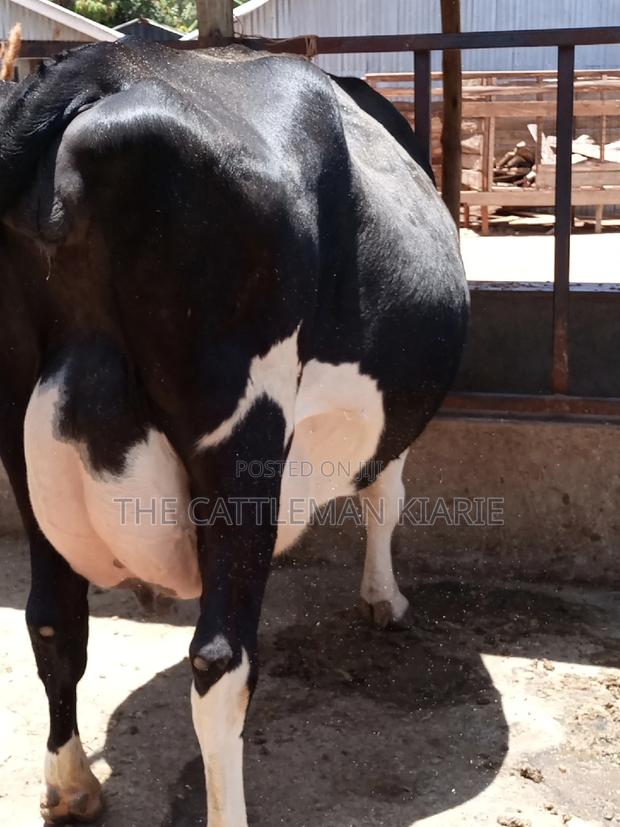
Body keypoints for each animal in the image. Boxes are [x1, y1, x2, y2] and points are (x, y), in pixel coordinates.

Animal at [0, 40, 468, 826]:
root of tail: (90, 76)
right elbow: (386, 496)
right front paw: (385, 598)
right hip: (244, 443)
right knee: (220, 660)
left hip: (12, 432)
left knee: (52, 620)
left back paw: (71, 785)